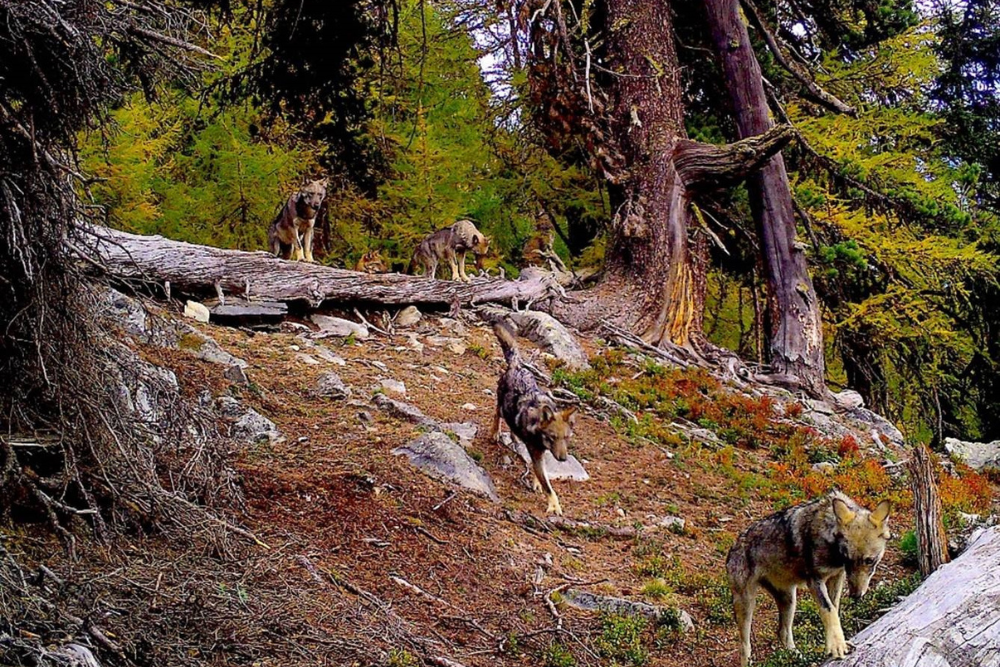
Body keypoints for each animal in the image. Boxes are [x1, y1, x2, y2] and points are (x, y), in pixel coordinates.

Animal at [486, 324, 576, 516]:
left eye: (566, 438)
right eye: (552, 437)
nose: (563, 459)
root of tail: (517, 365)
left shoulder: (541, 455)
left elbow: (541, 476)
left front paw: (536, 483)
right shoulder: (536, 455)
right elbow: (549, 487)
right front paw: (554, 506)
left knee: (512, 427)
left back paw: (514, 436)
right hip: (501, 406)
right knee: (497, 414)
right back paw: (495, 433)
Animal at [728, 490, 892, 667]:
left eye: (869, 561)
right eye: (847, 559)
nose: (855, 596)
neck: (829, 541)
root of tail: (734, 545)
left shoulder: (837, 576)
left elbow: (834, 609)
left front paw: (836, 644)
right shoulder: (815, 581)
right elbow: (829, 610)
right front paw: (837, 645)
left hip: (789, 600)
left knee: (782, 632)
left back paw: (800, 658)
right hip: (747, 606)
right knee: (744, 647)